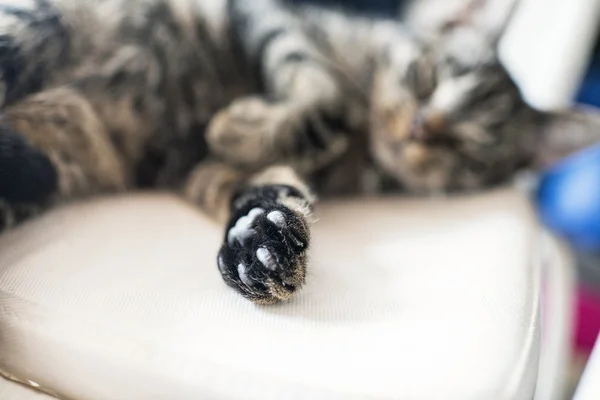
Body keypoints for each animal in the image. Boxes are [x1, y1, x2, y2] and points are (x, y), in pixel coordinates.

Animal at [0, 0, 596, 304]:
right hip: (39, 26)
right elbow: (325, 96)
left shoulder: (209, 173)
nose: (420, 129)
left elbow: (265, 184)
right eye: (425, 77)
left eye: (466, 147)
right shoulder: (270, 18)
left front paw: (255, 238)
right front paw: (237, 125)